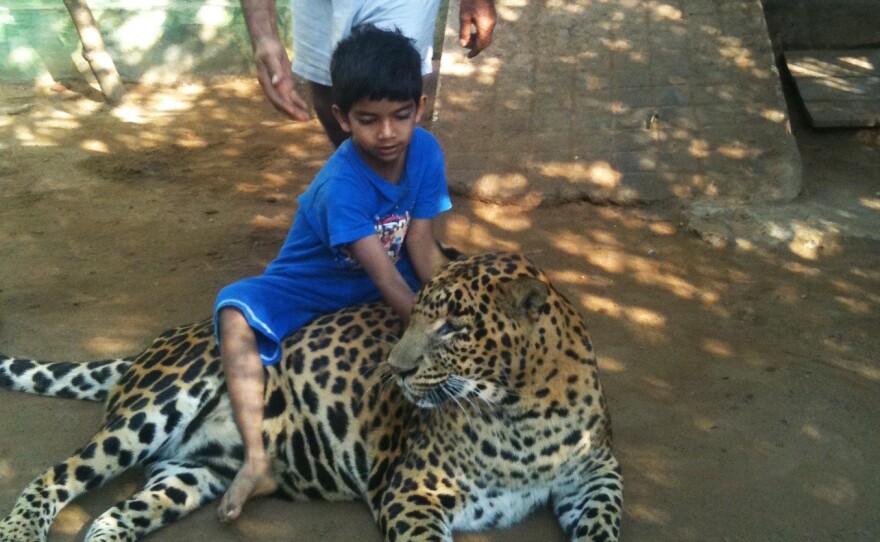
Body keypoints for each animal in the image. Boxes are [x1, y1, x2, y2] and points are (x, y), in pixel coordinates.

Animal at [0, 255, 624, 542]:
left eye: (452, 327)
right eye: (417, 315)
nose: (395, 369)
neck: (523, 411)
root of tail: (152, 345)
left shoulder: (597, 472)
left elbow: (605, 521)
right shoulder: (412, 491)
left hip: (191, 471)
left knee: (113, 515)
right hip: (157, 407)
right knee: (54, 477)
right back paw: (21, 528)